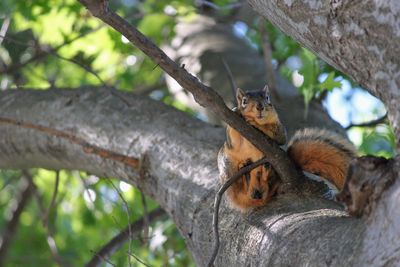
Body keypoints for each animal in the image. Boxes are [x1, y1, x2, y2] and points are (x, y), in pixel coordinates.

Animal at [219, 86, 356, 211]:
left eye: (267, 98)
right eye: (244, 101)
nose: (260, 107)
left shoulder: (280, 131)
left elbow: (279, 137)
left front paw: (258, 125)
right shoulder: (232, 142)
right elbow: (234, 138)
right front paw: (236, 110)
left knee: (261, 188)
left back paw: (263, 172)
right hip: (226, 164)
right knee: (239, 189)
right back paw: (244, 170)